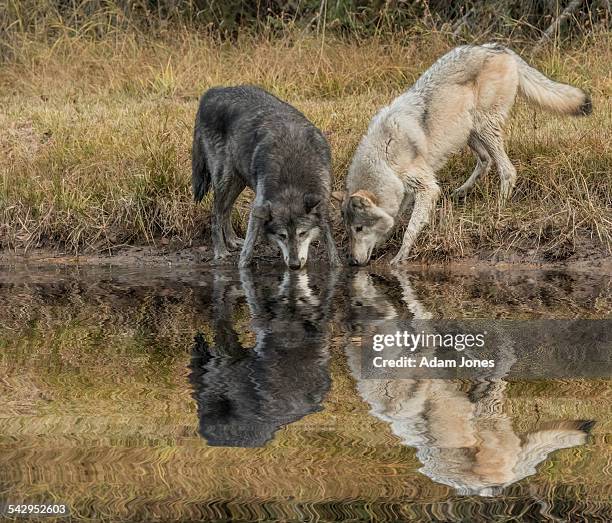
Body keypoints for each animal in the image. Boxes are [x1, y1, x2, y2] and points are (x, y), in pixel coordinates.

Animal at [192, 85, 340, 270]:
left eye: (302, 233)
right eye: (282, 235)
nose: (294, 265)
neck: (292, 182)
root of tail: (210, 93)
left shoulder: (323, 200)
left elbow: (330, 242)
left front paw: (337, 265)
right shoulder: (259, 207)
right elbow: (248, 250)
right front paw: (242, 270)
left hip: (238, 181)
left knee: (226, 209)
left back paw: (232, 241)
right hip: (224, 180)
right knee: (216, 213)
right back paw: (220, 251)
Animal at [334, 43, 592, 266]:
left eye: (358, 229)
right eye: (349, 230)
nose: (352, 262)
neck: (383, 156)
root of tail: (497, 47)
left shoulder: (427, 187)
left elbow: (411, 228)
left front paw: (400, 258)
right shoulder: (405, 190)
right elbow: (398, 218)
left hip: (484, 126)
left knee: (507, 170)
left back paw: (498, 208)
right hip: (468, 132)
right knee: (485, 161)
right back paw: (461, 192)